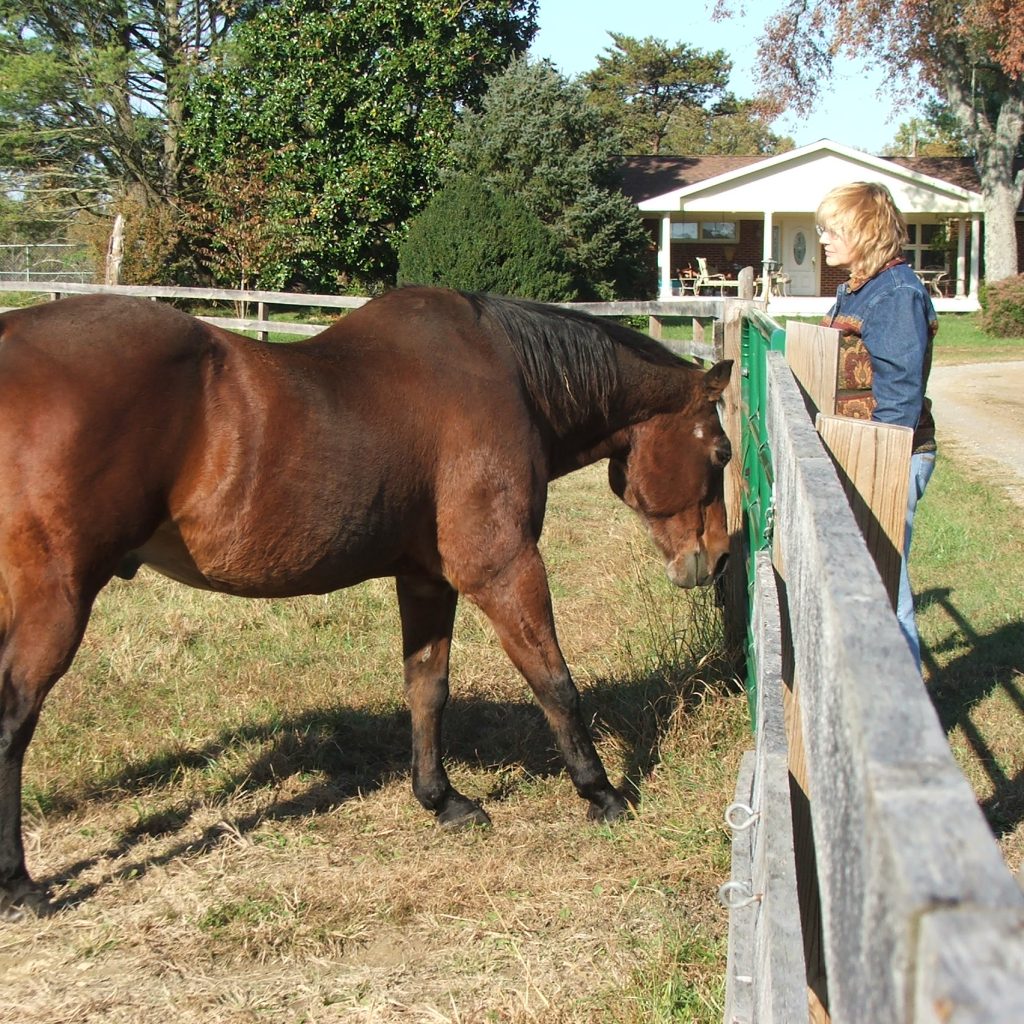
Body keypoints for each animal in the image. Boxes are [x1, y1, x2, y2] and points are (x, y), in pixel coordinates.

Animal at [0, 287, 732, 917]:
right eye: (721, 452)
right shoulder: (502, 568)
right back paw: (21, 887)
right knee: (13, 721)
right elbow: (555, 682)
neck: (507, 377)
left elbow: (428, 689)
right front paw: (602, 792)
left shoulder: (426, 580)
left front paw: (442, 800)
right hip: (56, 600)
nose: (719, 558)